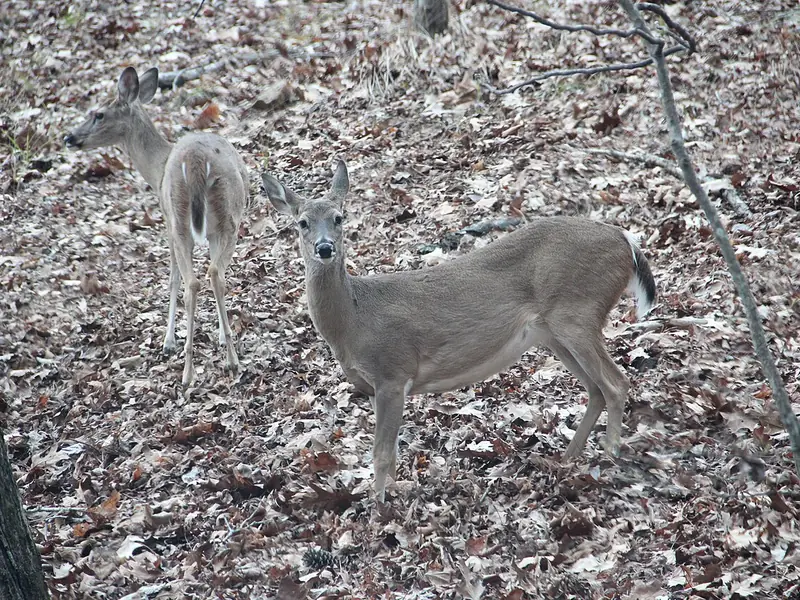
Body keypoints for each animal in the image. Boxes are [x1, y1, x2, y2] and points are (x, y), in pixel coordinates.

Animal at [65, 67, 249, 388]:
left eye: (98, 114)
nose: (70, 137)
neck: (157, 168)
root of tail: (196, 161)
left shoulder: (167, 223)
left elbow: (171, 278)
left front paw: (168, 342)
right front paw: (217, 336)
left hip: (183, 219)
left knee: (192, 281)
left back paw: (189, 372)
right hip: (224, 219)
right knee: (214, 274)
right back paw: (228, 361)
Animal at [262, 160, 657, 503]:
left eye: (338, 217)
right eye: (302, 222)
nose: (324, 248)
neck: (355, 321)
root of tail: (626, 239)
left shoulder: (393, 371)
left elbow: (381, 453)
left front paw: (379, 508)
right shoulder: (373, 386)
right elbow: (391, 451)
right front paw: (396, 493)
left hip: (577, 312)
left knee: (616, 383)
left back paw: (609, 455)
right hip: (554, 332)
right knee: (596, 389)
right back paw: (566, 460)